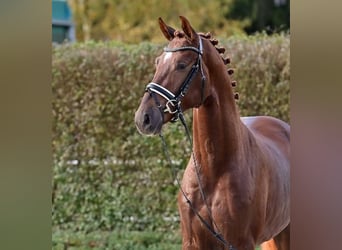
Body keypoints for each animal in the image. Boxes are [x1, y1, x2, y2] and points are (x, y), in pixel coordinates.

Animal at [135, 16, 290, 249]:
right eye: (157, 62)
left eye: (182, 64)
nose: (143, 118)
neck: (212, 168)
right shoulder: (192, 242)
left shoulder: (240, 243)